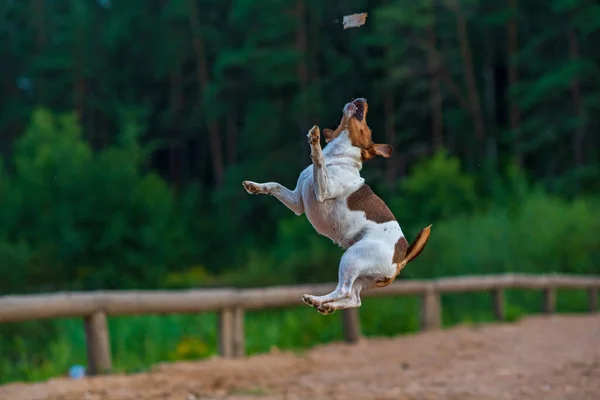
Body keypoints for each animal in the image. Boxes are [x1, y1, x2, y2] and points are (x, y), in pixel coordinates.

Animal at [243, 97, 432, 316]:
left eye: (368, 127)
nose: (362, 99)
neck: (338, 159)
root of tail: (402, 257)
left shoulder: (323, 190)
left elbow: (318, 161)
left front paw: (315, 140)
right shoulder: (298, 202)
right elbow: (274, 185)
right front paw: (255, 186)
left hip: (352, 258)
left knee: (344, 290)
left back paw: (316, 299)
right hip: (361, 274)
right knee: (354, 298)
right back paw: (324, 305)